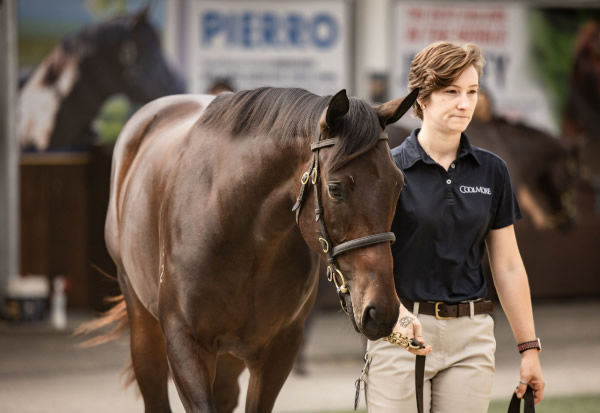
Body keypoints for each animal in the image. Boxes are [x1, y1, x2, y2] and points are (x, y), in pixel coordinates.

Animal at [82, 85, 420, 410]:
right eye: (335, 189)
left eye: (398, 184)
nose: (382, 311)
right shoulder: (185, 343)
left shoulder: (278, 350)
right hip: (143, 323)